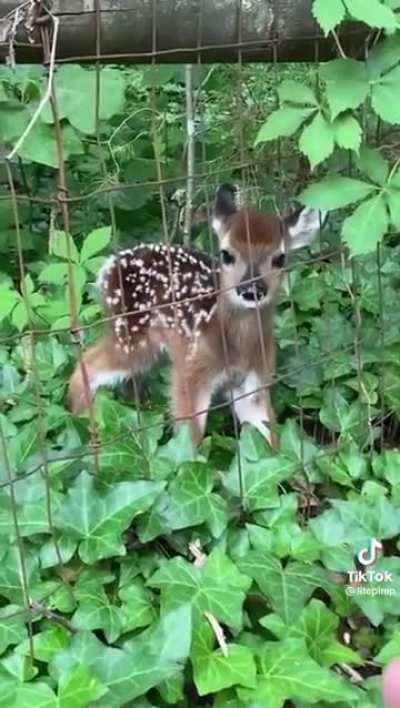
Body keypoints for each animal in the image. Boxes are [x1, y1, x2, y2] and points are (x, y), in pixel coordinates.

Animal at [68, 185, 326, 446]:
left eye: (279, 258)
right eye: (226, 254)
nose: (251, 289)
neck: (234, 346)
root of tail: (108, 265)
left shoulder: (255, 379)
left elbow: (269, 435)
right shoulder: (192, 371)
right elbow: (188, 440)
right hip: (131, 335)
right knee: (86, 364)